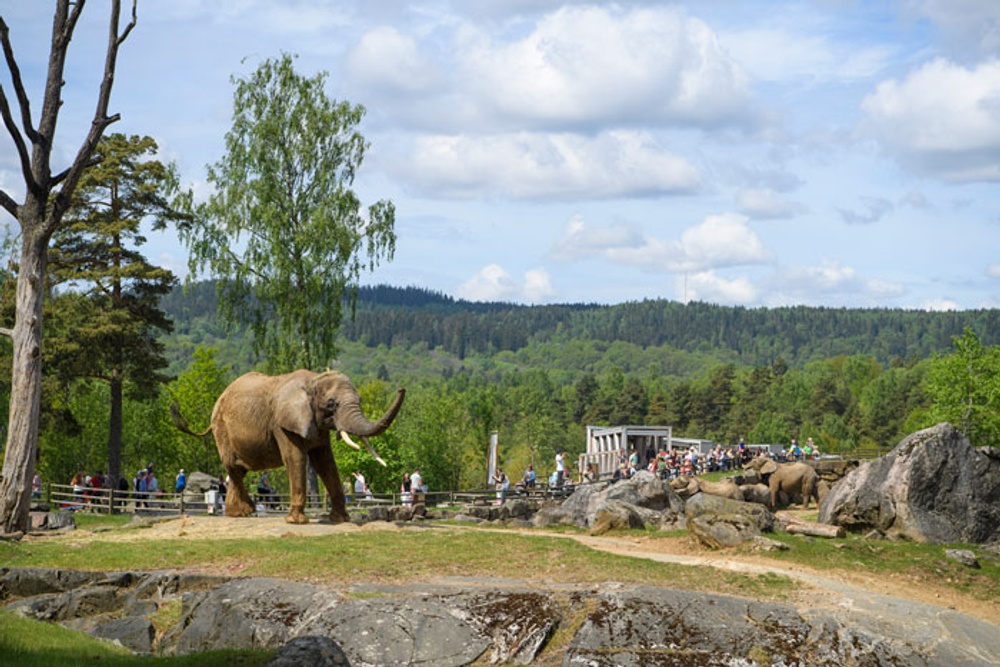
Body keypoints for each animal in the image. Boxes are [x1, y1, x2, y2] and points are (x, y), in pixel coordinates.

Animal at [172, 368, 402, 524]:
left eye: (360, 400)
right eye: (331, 404)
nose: (401, 388)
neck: (313, 380)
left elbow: (326, 462)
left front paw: (340, 519)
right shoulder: (281, 424)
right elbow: (296, 458)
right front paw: (297, 522)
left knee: (238, 470)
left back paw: (239, 514)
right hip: (222, 429)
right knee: (233, 467)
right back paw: (246, 511)